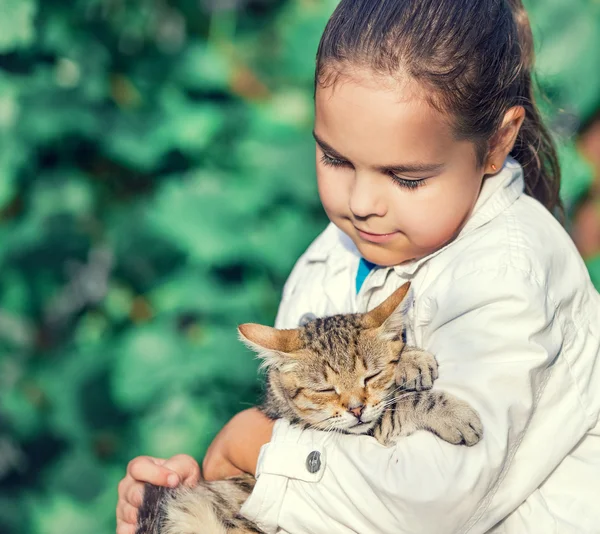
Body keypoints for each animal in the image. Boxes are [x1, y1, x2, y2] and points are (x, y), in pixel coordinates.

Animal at [135, 282, 482, 532]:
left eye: (370, 376)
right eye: (325, 389)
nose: (356, 409)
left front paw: (410, 358)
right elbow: (402, 405)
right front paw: (454, 414)